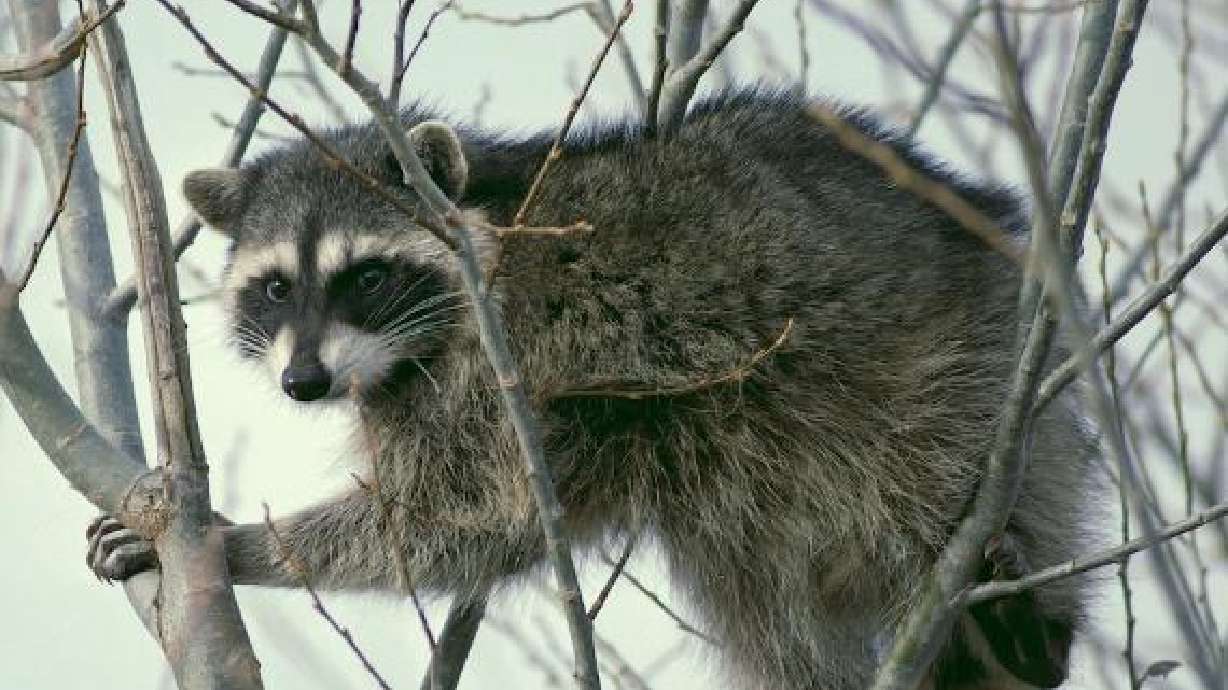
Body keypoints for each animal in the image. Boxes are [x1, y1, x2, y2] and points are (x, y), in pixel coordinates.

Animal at [88, 91, 1102, 690]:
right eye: (274, 288)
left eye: (365, 276)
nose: (305, 382)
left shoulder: (515, 358)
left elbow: (459, 514)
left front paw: (242, 544)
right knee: (760, 593)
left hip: (945, 369)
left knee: (928, 470)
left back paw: (1021, 619)